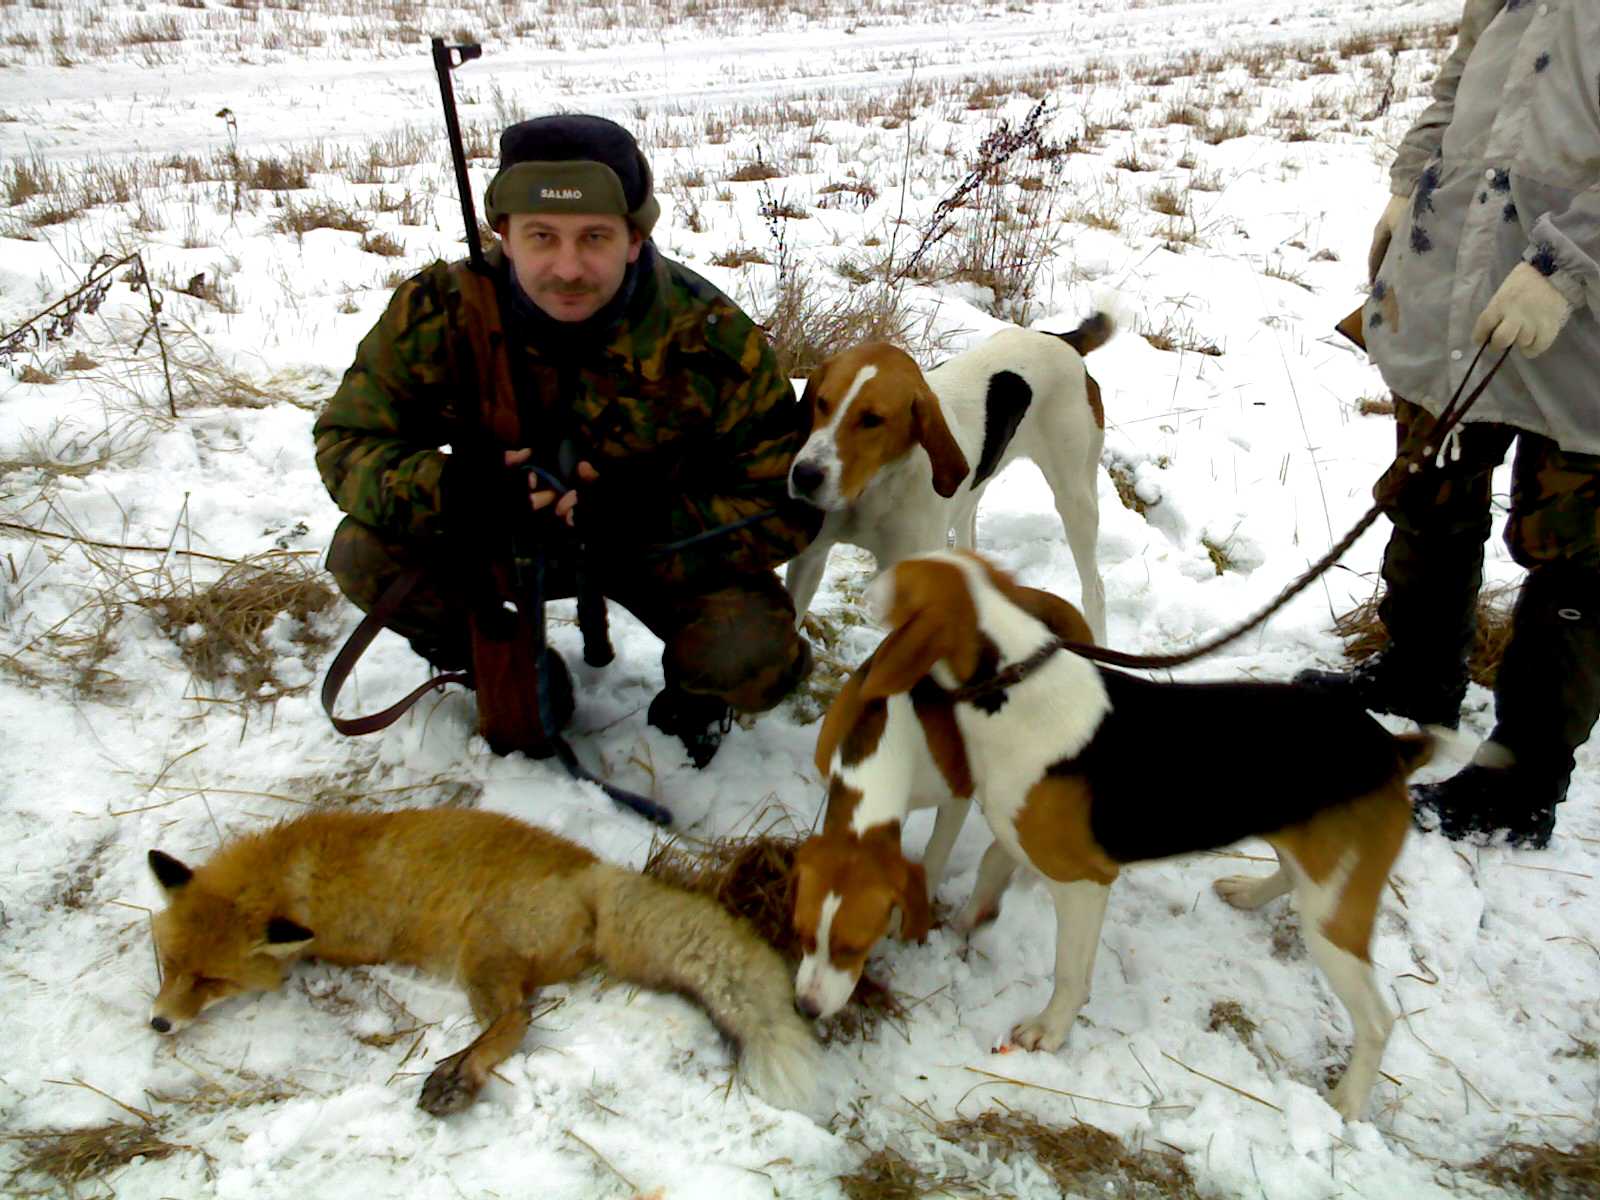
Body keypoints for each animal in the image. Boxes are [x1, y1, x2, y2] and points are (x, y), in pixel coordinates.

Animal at [148, 809, 819, 1120]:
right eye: (169, 965)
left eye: (211, 981)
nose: (158, 1024)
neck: (289, 875)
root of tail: (594, 874)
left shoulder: (345, 939)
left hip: (482, 957)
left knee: (516, 1023)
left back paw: (458, 1077)